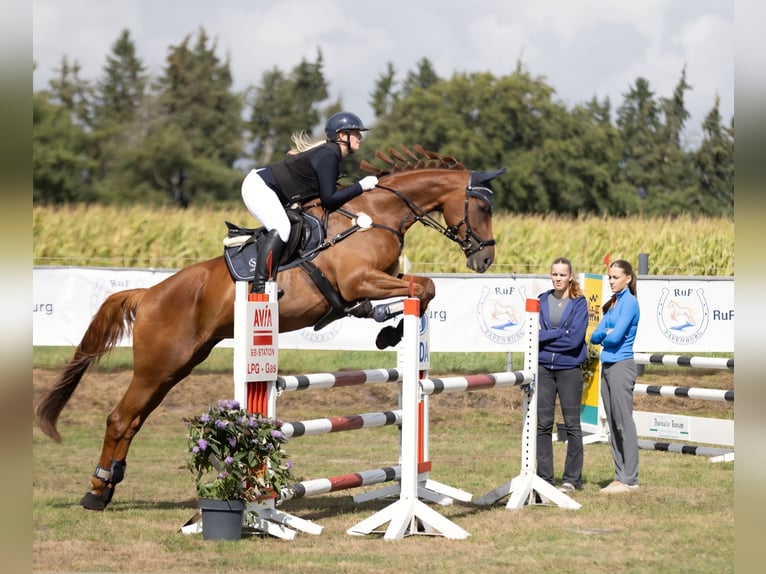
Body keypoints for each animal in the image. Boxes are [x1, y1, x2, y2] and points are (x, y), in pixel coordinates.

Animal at [35, 144, 506, 510]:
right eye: (483, 207)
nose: (484, 259)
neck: (377, 213)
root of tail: (148, 293)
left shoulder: (372, 282)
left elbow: (419, 289)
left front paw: (382, 325)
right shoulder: (358, 279)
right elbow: (421, 287)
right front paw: (387, 331)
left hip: (176, 366)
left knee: (132, 420)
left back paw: (106, 487)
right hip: (158, 364)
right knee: (119, 418)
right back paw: (95, 491)